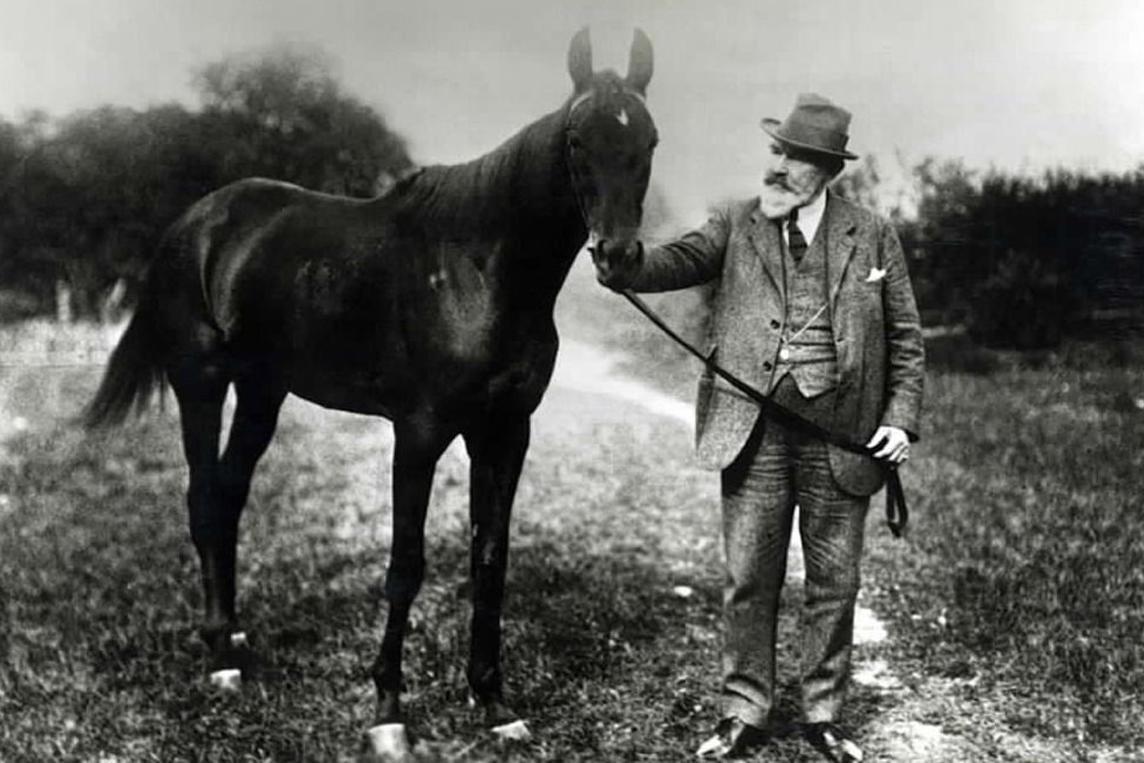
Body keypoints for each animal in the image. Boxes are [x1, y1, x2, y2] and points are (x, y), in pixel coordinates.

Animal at [84, 26, 658, 754]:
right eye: (578, 139)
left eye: (650, 140)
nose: (618, 256)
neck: (477, 269)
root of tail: (195, 221)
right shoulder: (419, 432)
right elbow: (405, 564)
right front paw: (388, 709)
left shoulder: (505, 430)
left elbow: (490, 560)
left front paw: (494, 702)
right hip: (203, 384)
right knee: (205, 497)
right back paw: (219, 655)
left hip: (263, 390)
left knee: (232, 492)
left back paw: (236, 635)